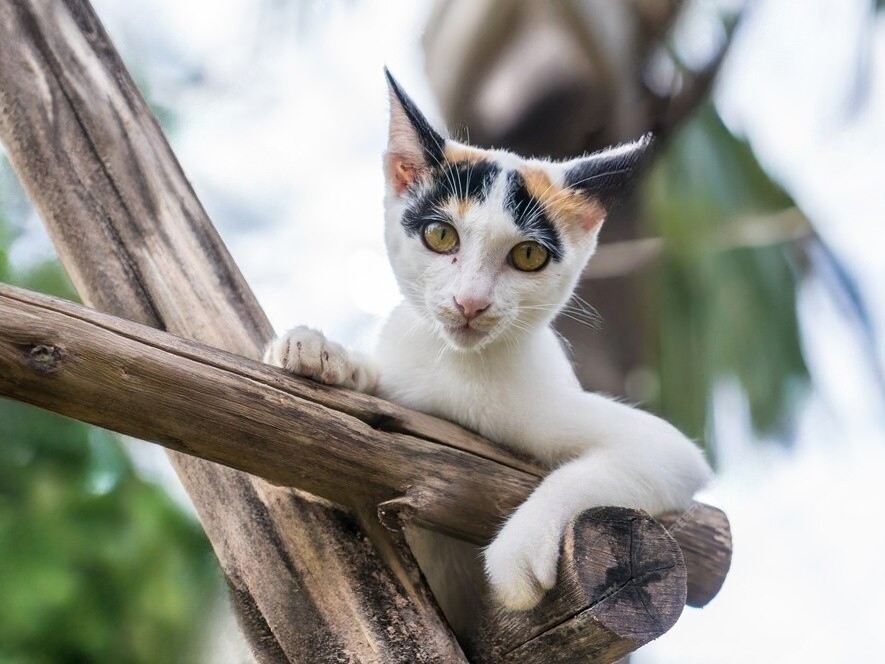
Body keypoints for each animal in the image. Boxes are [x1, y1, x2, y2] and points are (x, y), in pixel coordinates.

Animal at [262, 70, 712, 636]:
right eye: (440, 235)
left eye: (528, 255)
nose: (470, 302)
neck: (461, 370)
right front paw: (323, 353)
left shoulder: (667, 453)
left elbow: (605, 469)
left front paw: (516, 554)